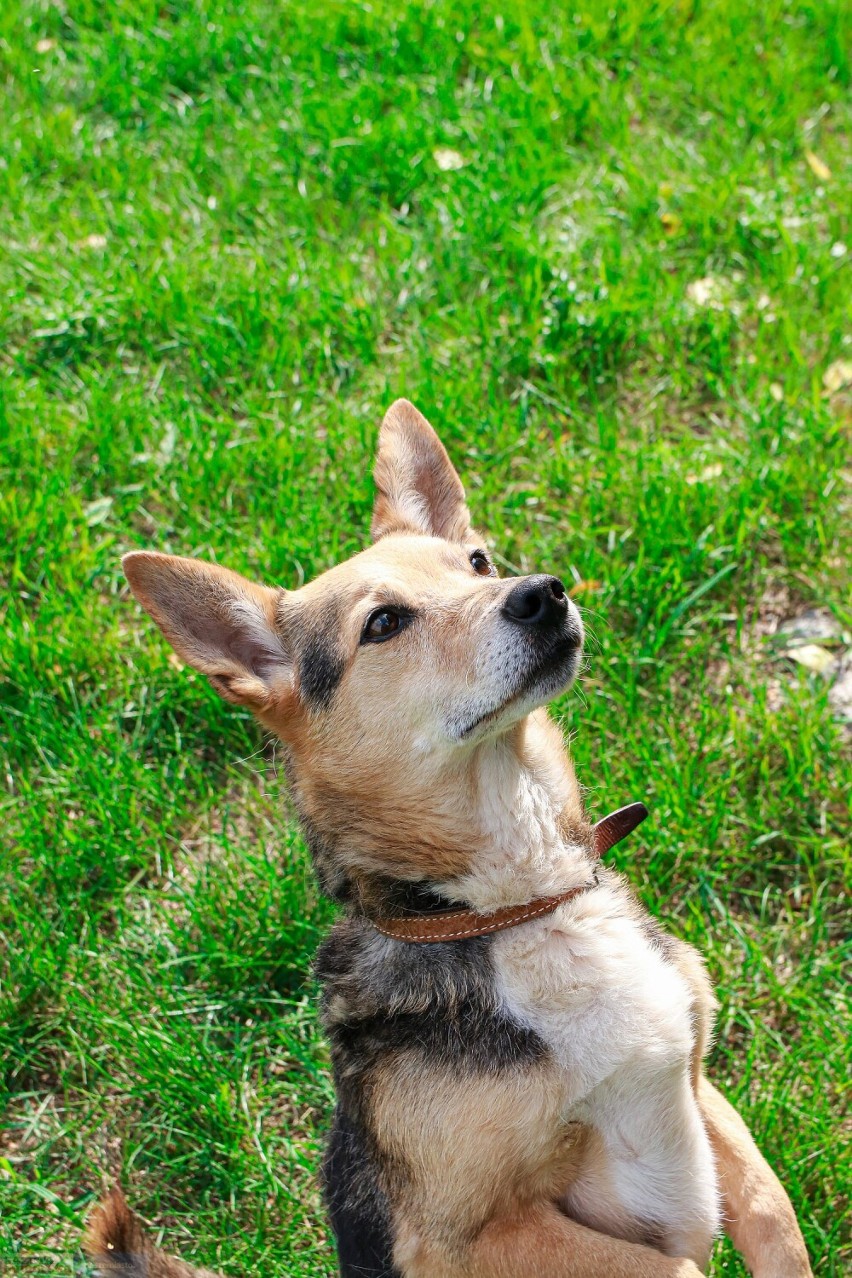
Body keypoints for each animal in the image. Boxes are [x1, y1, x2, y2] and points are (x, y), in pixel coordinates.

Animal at [86, 401, 812, 1278]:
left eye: (477, 560)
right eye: (384, 622)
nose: (542, 593)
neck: (522, 900)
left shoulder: (700, 1085)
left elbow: (774, 1218)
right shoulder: (465, 1237)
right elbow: (674, 1265)